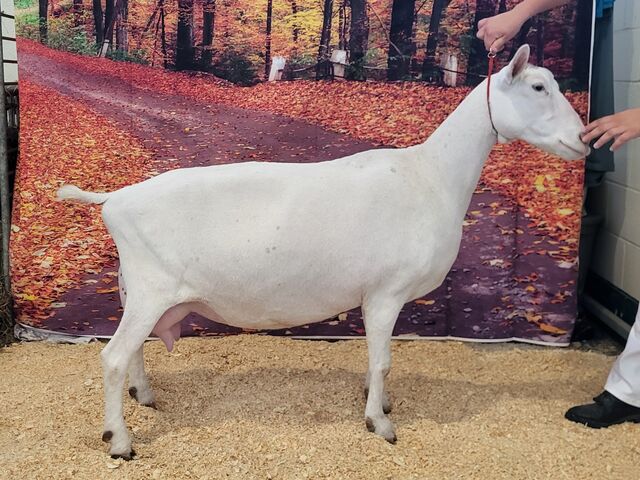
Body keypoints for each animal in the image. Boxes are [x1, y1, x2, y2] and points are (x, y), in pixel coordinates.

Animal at [57, 46, 588, 458]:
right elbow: (382, 360)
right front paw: (381, 424)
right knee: (113, 357)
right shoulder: (385, 292)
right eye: (538, 87)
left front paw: (381, 403)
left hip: (136, 291)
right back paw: (120, 441)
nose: (583, 139)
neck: (431, 176)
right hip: (151, 288)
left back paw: (144, 397)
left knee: (133, 352)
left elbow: (377, 360)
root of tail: (115, 199)